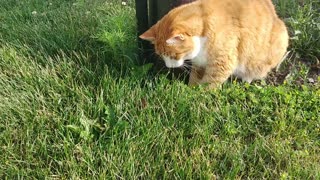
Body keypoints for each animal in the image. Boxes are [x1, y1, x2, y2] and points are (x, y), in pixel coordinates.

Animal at [139, 0, 288, 88]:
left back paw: (247, 78)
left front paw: (196, 98)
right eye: (161, 55)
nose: (169, 66)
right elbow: (194, 77)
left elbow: (208, 85)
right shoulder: (199, 63)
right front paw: (190, 89)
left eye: (174, 55)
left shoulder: (221, 63)